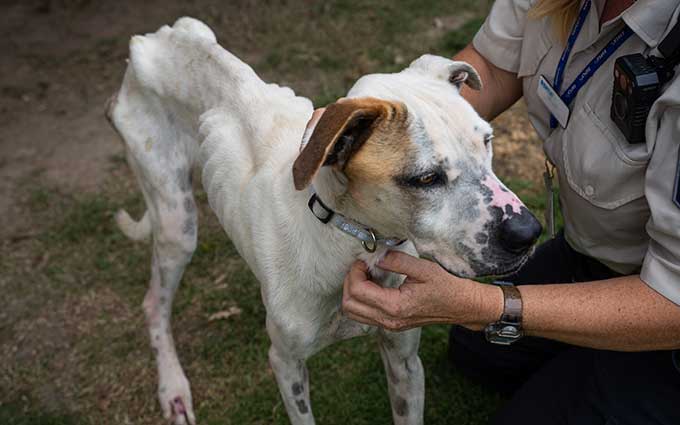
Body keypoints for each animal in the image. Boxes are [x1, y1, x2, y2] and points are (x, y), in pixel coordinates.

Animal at [107, 17, 540, 424]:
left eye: (487, 141)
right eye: (426, 178)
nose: (529, 233)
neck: (351, 240)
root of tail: (154, 38)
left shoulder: (403, 359)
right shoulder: (285, 363)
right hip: (176, 223)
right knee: (154, 304)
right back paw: (173, 389)